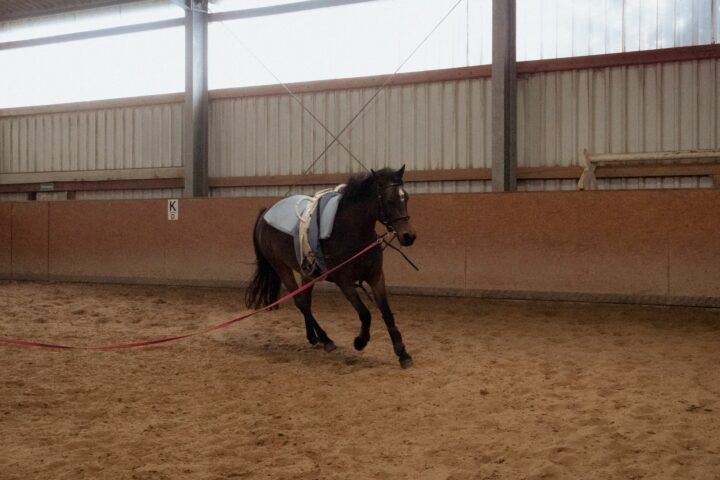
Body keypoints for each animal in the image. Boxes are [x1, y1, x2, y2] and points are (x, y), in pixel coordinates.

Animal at [245, 166, 417, 368]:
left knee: (306, 302)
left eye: (406, 198)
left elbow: (387, 313)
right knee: (301, 302)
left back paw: (315, 337)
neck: (351, 232)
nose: (408, 236)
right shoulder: (345, 282)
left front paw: (403, 353)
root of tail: (266, 213)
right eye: (389, 200)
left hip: (307, 272)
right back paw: (325, 339)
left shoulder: (376, 277)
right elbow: (365, 314)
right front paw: (360, 342)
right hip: (281, 267)